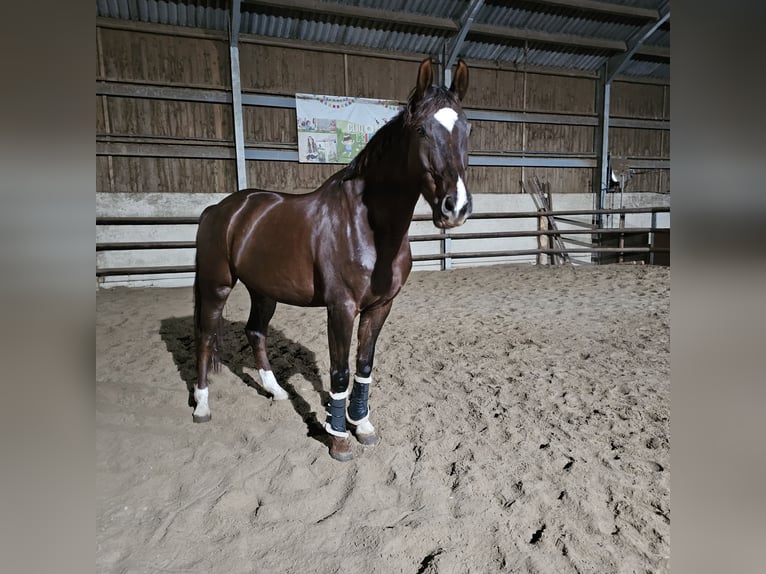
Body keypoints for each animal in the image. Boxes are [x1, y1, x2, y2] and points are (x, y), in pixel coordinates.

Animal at [192, 59, 474, 464]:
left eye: (467, 127)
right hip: (216, 285)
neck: (369, 226)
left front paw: (363, 425)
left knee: (255, 332)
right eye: (421, 129)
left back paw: (276, 391)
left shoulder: (380, 307)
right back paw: (201, 405)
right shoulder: (341, 308)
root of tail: (222, 209)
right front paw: (339, 439)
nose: (457, 207)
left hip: (264, 291)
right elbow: (339, 371)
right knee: (204, 335)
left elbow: (364, 366)